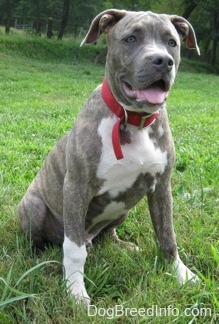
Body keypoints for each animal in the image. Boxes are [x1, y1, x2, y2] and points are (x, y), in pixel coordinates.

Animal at [18, 8, 200, 306]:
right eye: (130, 39)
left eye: (172, 42)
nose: (163, 60)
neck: (133, 120)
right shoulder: (77, 186)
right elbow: (74, 249)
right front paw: (75, 292)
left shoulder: (162, 187)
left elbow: (167, 235)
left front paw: (181, 274)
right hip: (34, 207)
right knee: (47, 240)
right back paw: (35, 259)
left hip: (123, 210)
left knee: (107, 234)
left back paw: (121, 245)